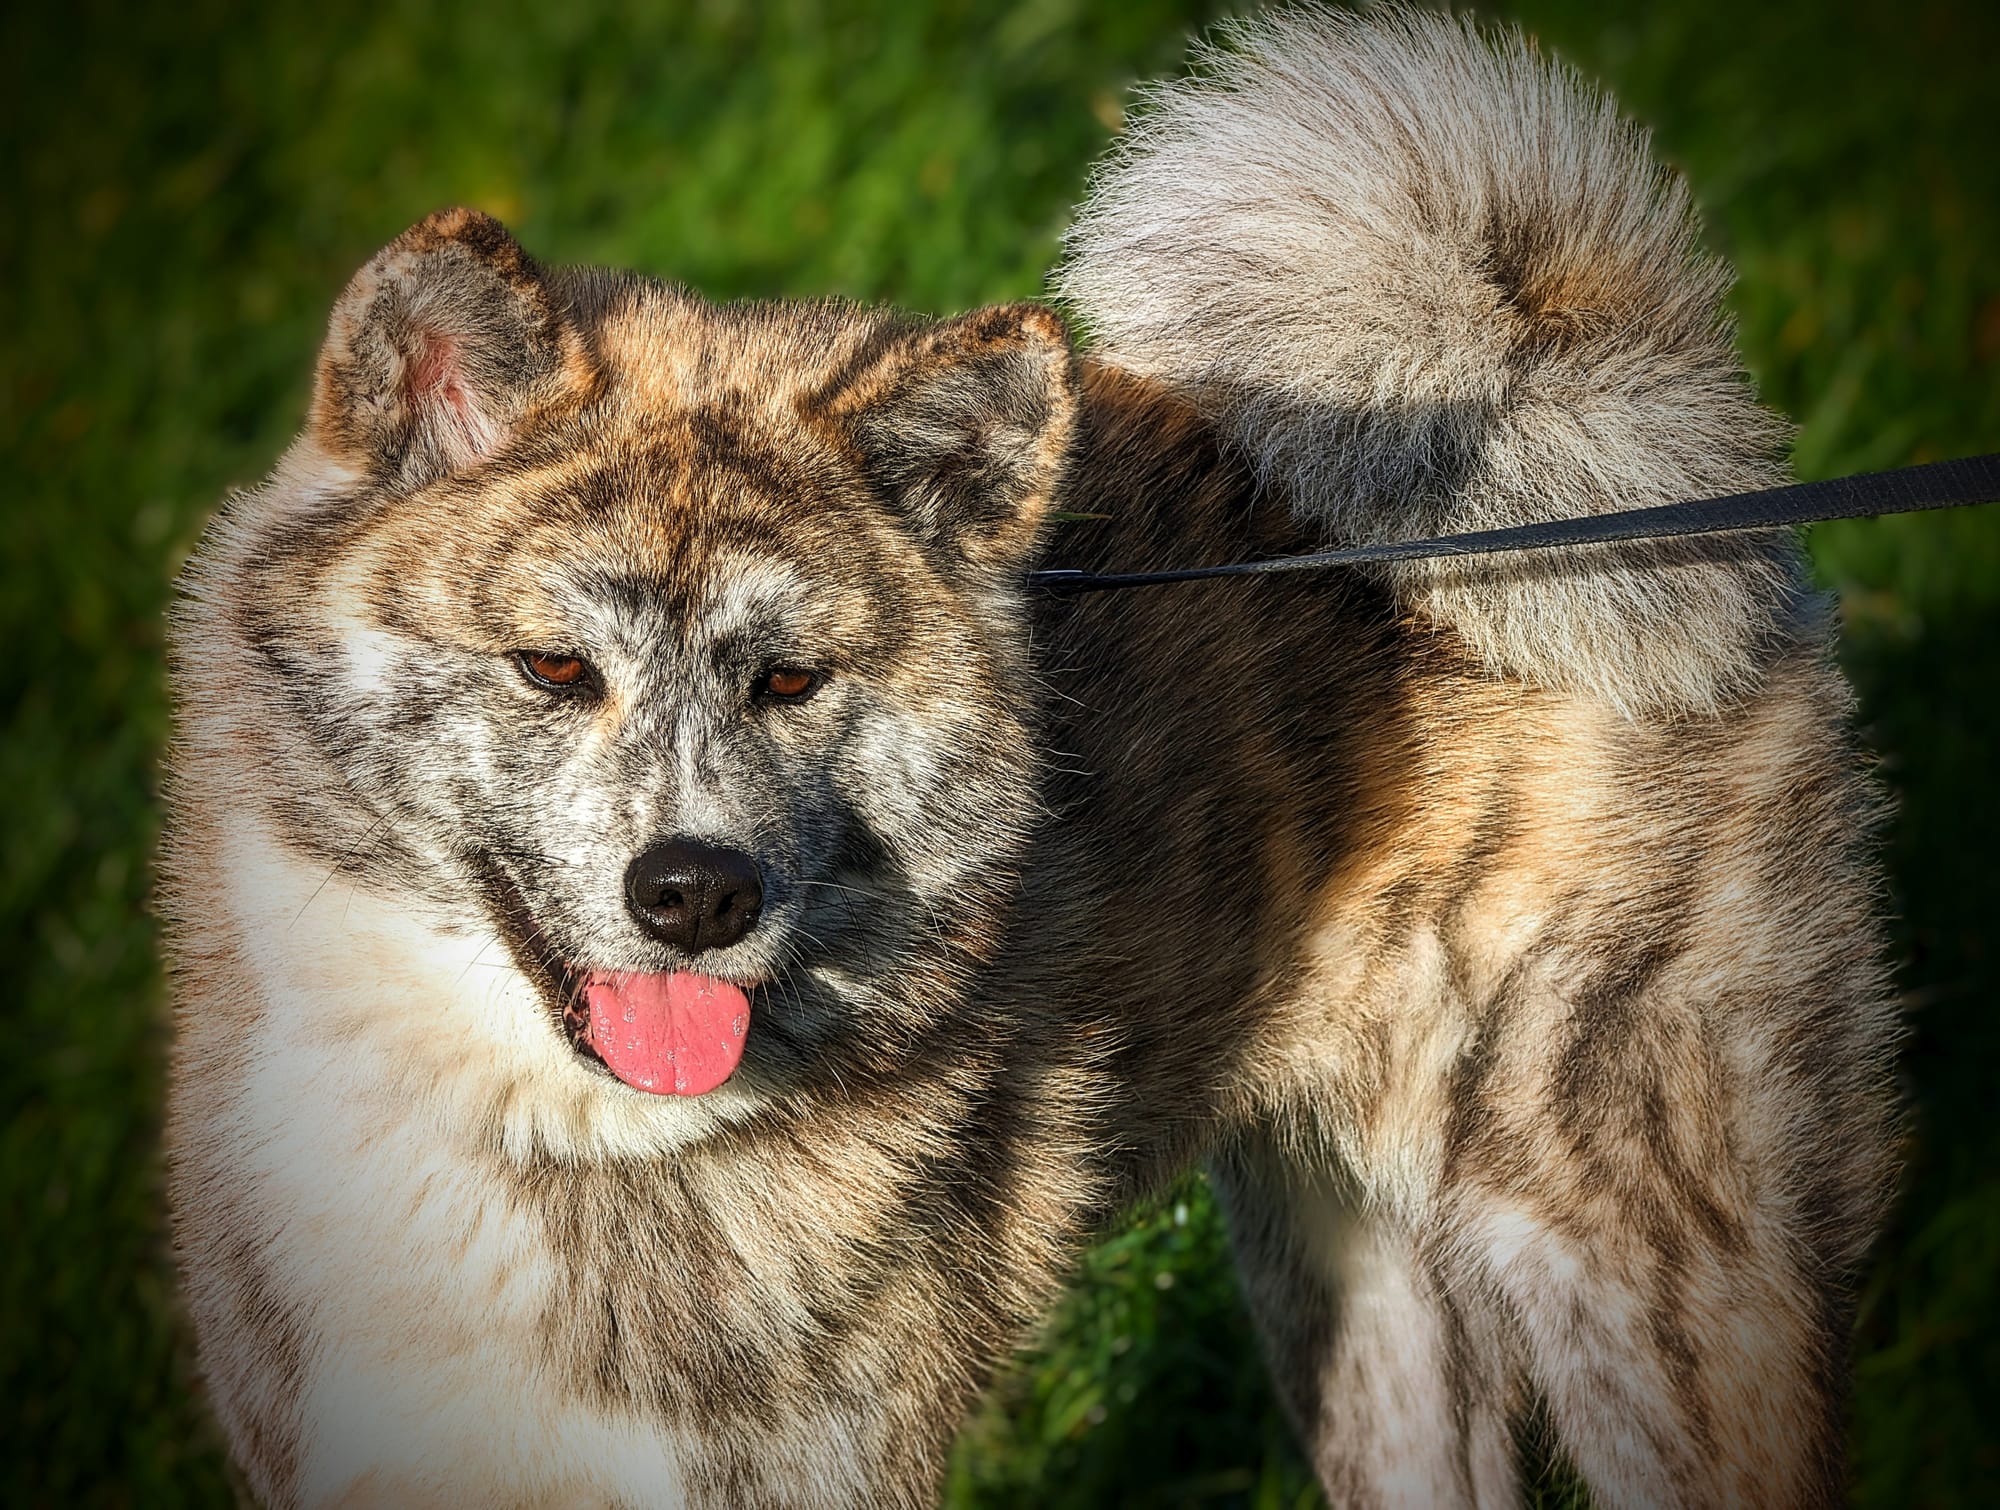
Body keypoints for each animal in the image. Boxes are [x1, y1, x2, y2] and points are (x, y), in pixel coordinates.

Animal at [164, 5, 1896, 1504]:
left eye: (791, 678)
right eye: (551, 665)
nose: (697, 893)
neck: (558, 1138)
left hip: (1637, 1258)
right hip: (1357, 1288)